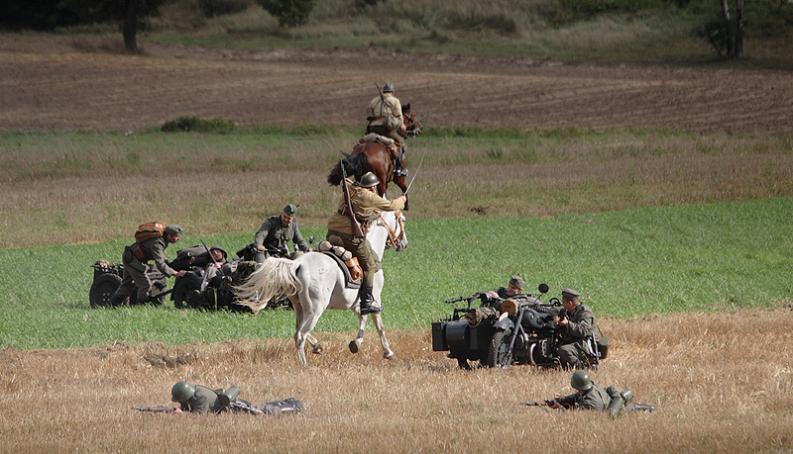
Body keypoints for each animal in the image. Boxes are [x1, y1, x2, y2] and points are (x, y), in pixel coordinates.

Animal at [234, 211, 408, 368]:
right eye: (402, 220)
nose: (404, 244)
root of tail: (298, 264)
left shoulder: (357, 304)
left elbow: (363, 318)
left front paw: (355, 344)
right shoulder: (374, 299)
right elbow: (379, 325)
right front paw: (388, 352)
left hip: (301, 308)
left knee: (298, 331)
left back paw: (316, 347)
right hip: (316, 309)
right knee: (301, 335)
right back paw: (305, 366)